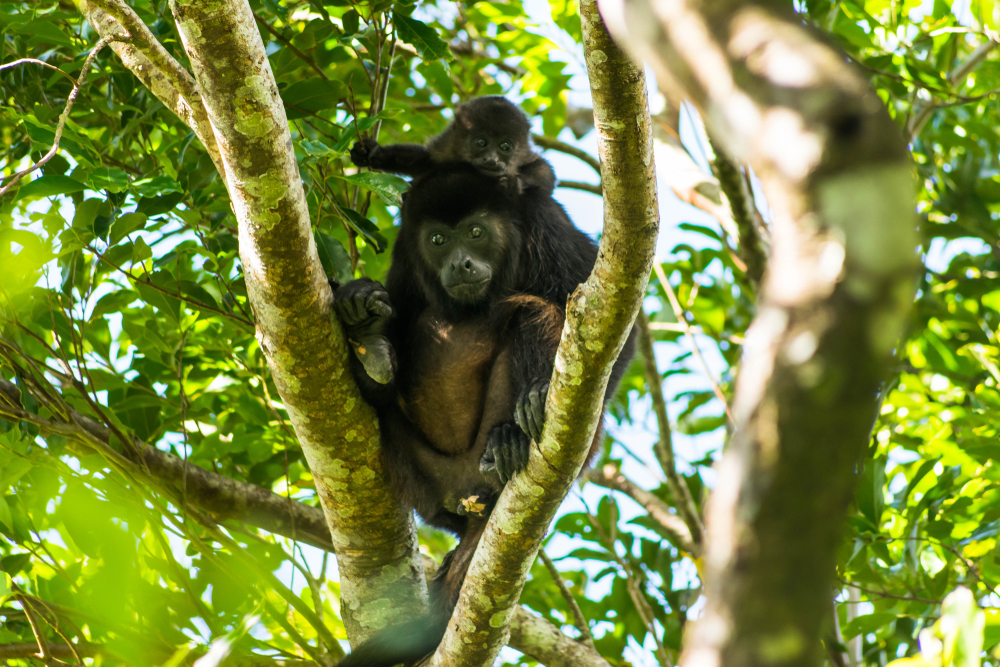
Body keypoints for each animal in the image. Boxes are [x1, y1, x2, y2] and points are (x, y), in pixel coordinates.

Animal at [332, 164, 635, 667]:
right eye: (437, 240)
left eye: (476, 232)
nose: (461, 264)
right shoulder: (405, 250)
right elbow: (402, 303)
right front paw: (366, 317)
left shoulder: (545, 222)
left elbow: (609, 325)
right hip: (422, 480)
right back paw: (372, 350)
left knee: (531, 312)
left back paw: (513, 435)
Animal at [349, 96, 556, 195]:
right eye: (481, 142)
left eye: (505, 146)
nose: (491, 160)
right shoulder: (448, 145)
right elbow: (427, 162)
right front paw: (374, 152)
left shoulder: (525, 154)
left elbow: (544, 171)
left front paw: (515, 184)